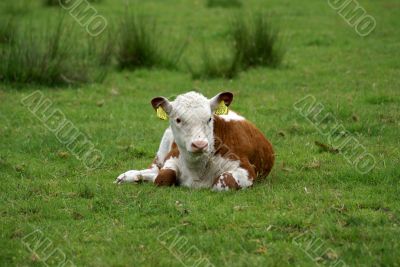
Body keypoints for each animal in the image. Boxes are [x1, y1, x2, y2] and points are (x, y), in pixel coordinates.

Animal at [114, 91, 274, 191]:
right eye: (178, 120)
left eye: (209, 119)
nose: (200, 144)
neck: (197, 169)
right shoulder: (172, 157)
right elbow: (162, 178)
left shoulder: (245, 168)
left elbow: (223, 183)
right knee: (154, 169)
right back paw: (128, 176)